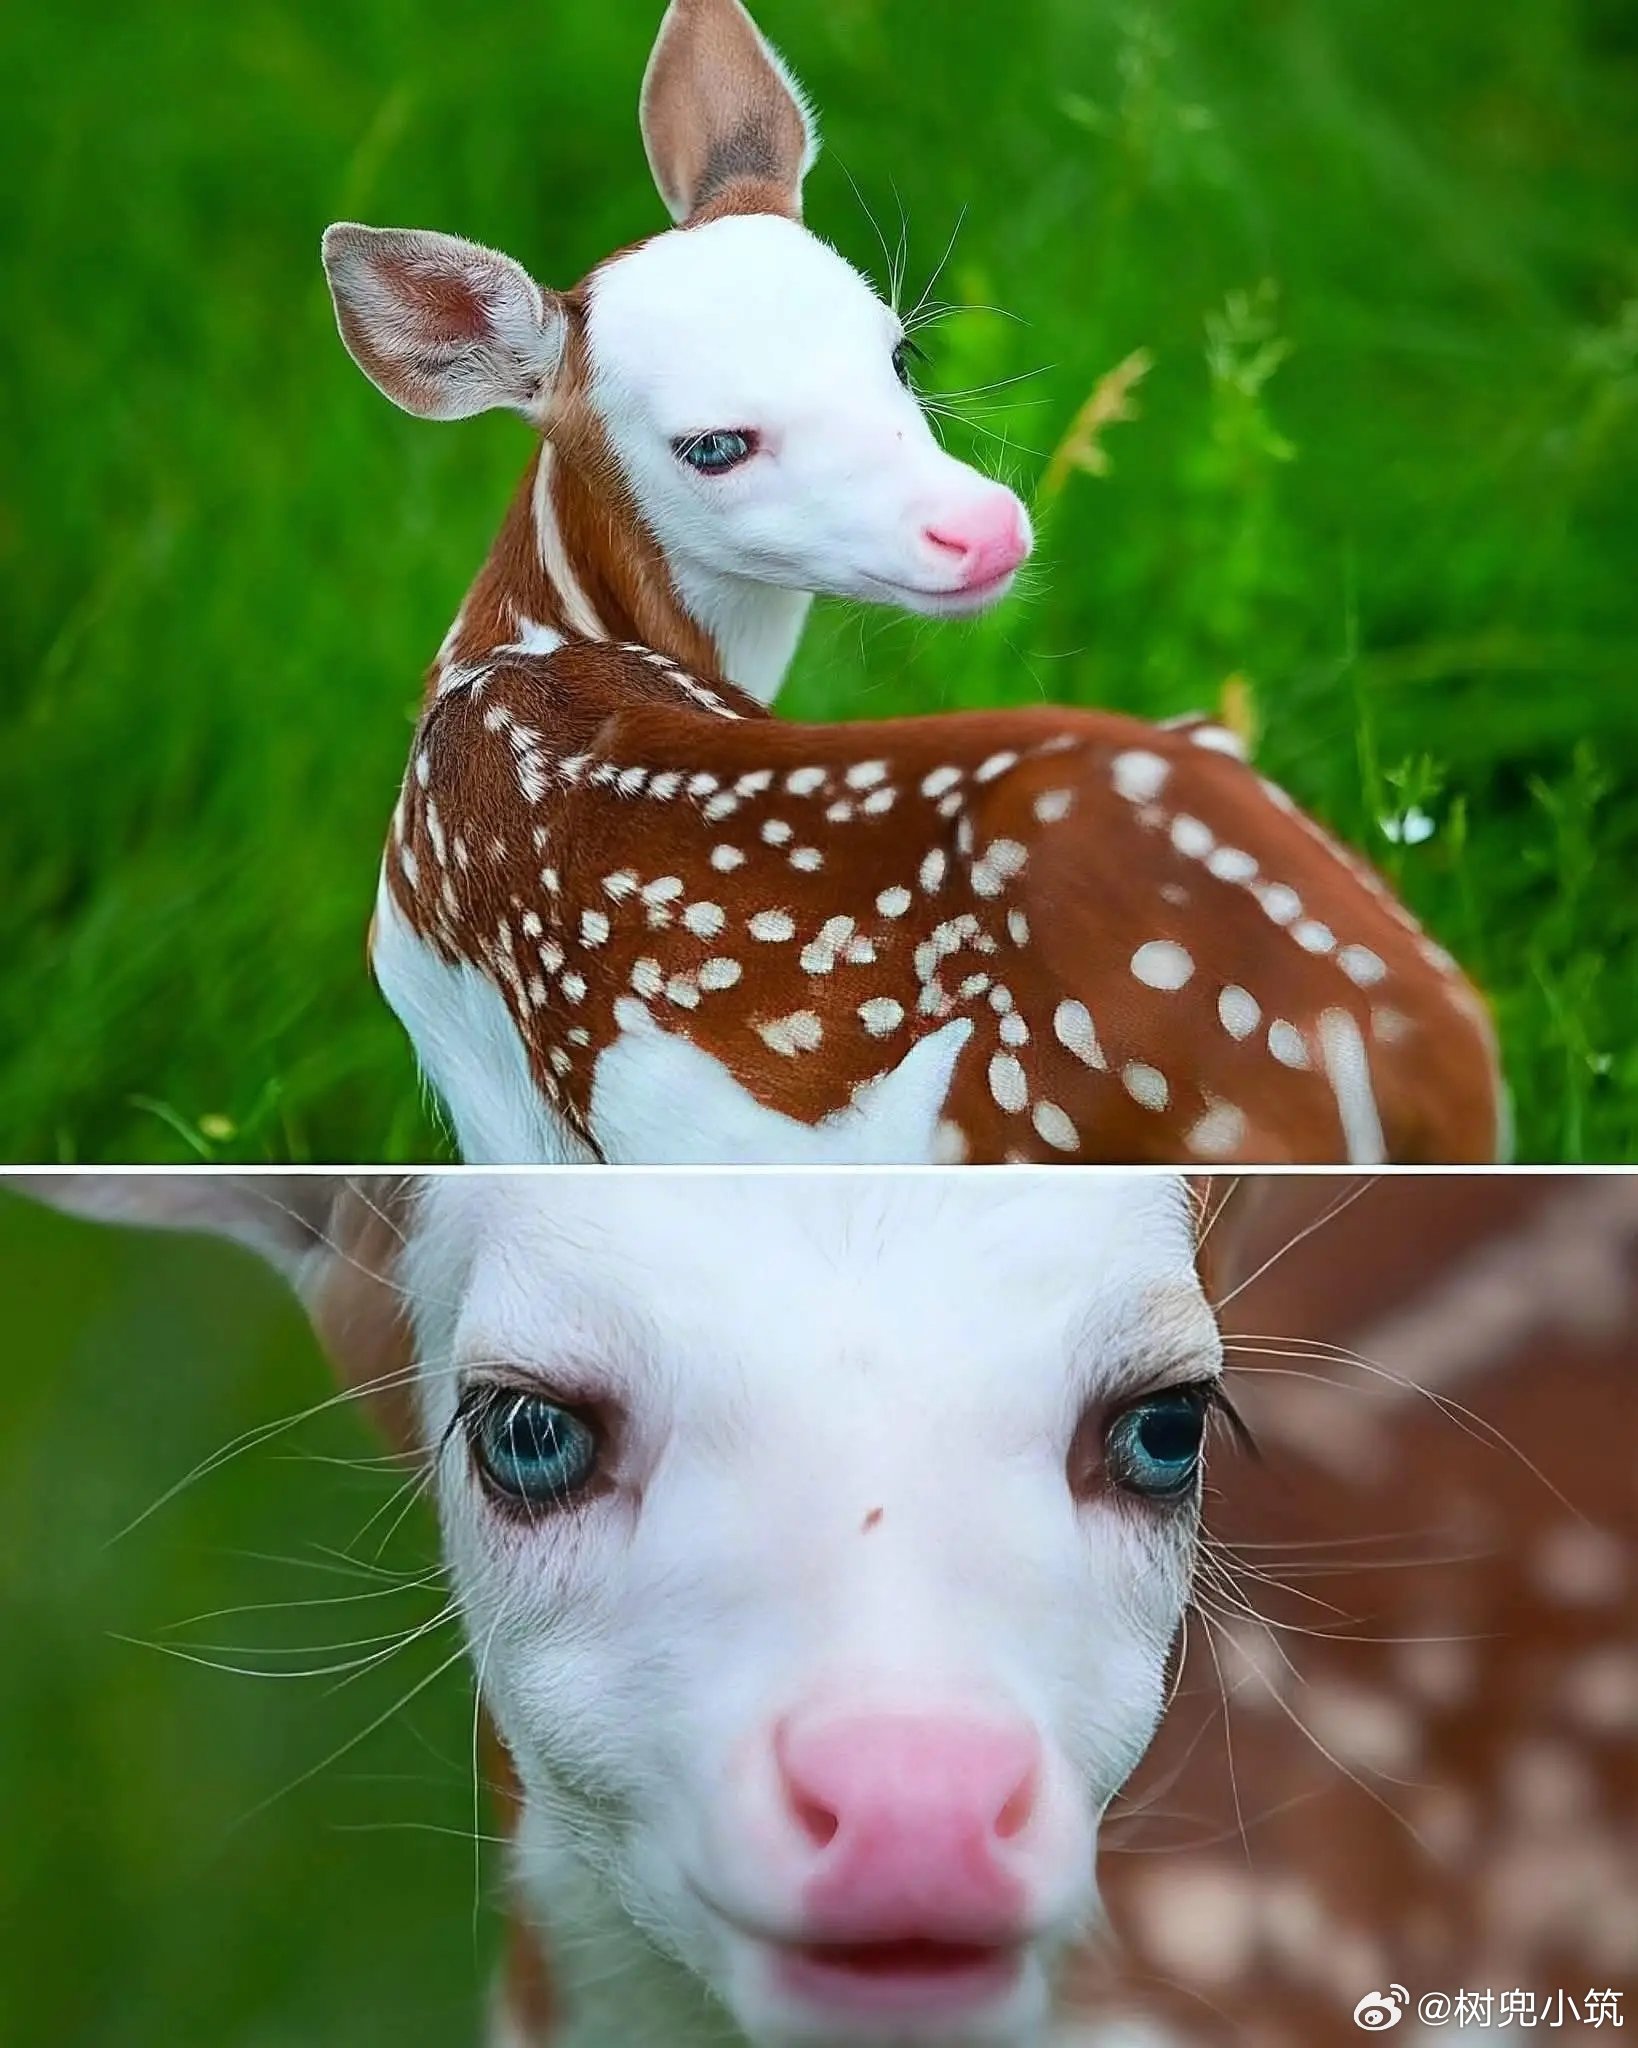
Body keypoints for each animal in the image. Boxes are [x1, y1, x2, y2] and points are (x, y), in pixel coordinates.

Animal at [320, 0, 1505, 1170]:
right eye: (713, 444)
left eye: (899, 356)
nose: (983, 528)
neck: (517, 652)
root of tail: (1432, 1069)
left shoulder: (487, 1077)